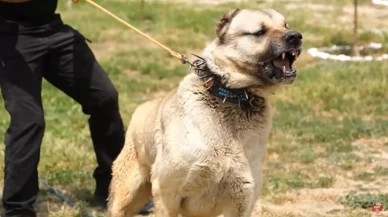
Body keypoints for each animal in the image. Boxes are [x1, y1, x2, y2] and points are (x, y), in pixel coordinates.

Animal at [106, 8, 304, 217]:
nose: (296, 36)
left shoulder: (242, 198)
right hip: (125, 195)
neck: (230, 95)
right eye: (260, 31)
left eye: (286, 26)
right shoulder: (167, 192)